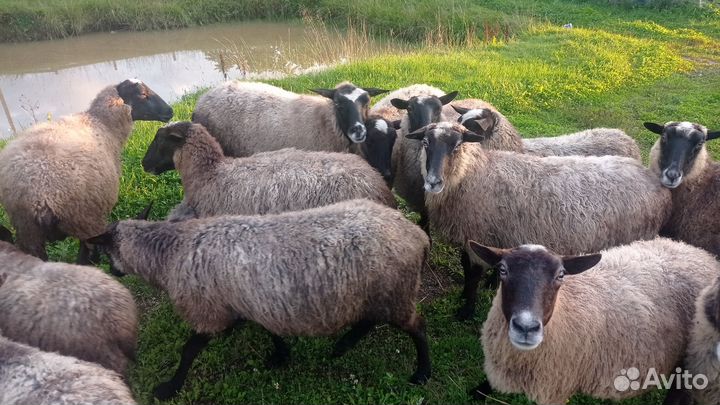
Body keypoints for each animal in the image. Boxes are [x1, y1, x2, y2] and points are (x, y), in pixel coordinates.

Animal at [0, 79, 173, 263]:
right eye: (142, 94)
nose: (170, 111)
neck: (100, 123)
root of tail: (38, 199)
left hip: (28, 232)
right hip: (84, 218)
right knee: (87, 254)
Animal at [88, 198, 431, 399]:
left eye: (103, 251)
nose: (112, 272)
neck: (170, 253)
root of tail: (415, 232)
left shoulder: (209, 311)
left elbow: (189, 350)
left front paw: (169, 388)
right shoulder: (252, 301)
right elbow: (270, 330)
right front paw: (280, 356)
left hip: (395, 290)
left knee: (417, 326)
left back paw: (422, 373)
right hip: (377, 292)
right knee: (370, 321)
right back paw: (342, 346)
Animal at [406, 122, 671, 319]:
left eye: (457, 145)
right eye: (426, 143)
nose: (433, 182)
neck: (472, 174)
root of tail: (653, 181)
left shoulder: (478, 232)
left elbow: (472, 276)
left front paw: (465, 311)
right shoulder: (477, 235)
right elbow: (467, 268)